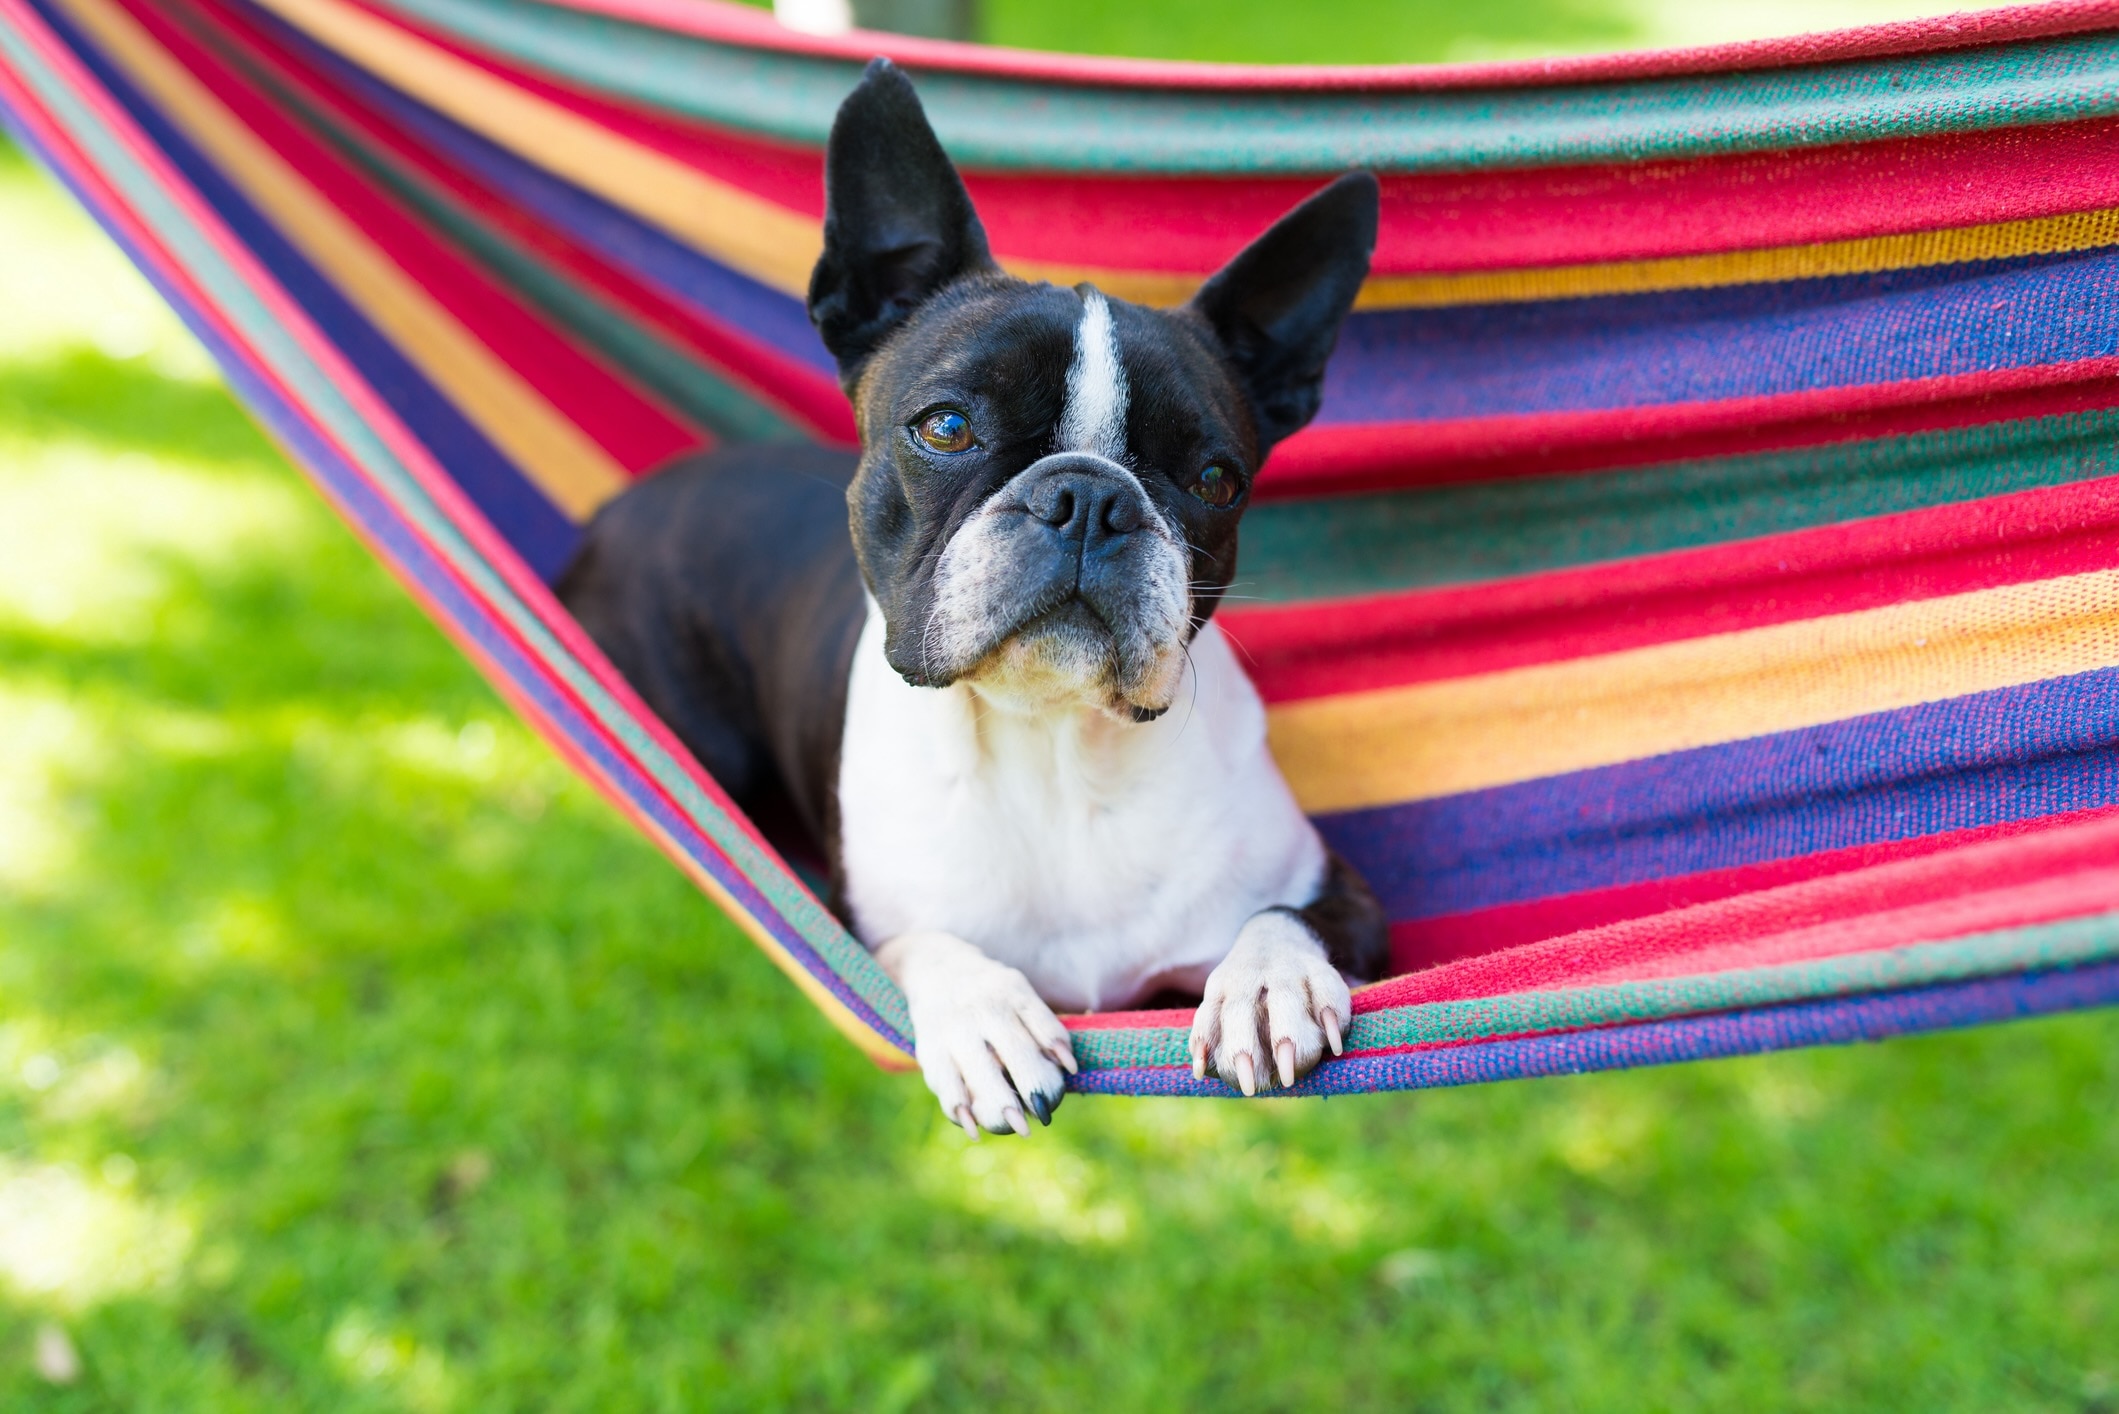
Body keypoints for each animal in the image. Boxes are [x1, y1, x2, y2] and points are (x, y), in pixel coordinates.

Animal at [563, 60, 1390, 1136]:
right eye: (946, 427)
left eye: (1215, 480)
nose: (1088, 499)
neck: (1051, 750)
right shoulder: (863, 921)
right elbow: (924, 943)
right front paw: (982, 1014)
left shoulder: (1341, 891)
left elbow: (1287, 916)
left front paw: (1265, 980)